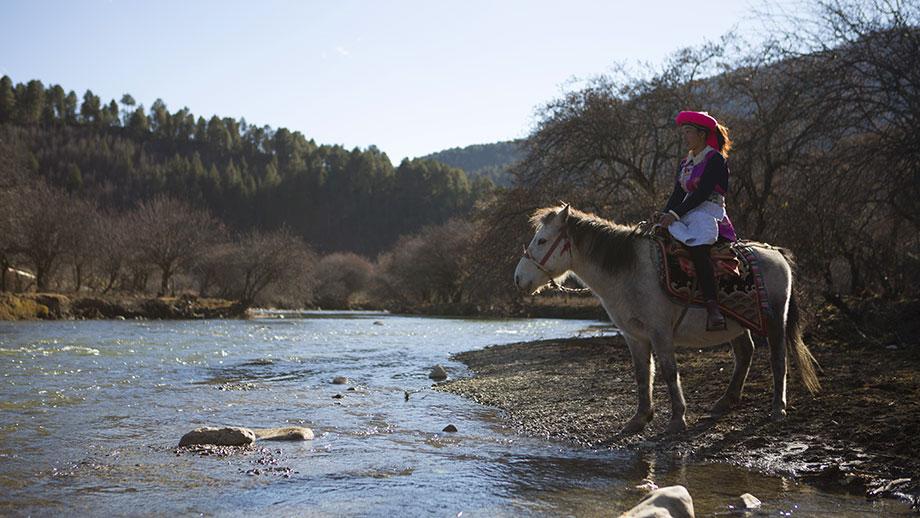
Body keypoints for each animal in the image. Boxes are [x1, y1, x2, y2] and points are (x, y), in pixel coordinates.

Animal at [512, 205, 824, 436]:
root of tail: (775, 253)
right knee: (745, 353)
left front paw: (677, 419)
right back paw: (725, 401)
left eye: (542, 241)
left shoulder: (660, 332)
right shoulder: (634, 336)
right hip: (737, 323)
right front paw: (639, 419)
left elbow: (668, 371)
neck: (630, 270)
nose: (518, 279)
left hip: (775, 319)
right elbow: (642, 374)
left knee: (778, 358)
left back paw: (777, 408)